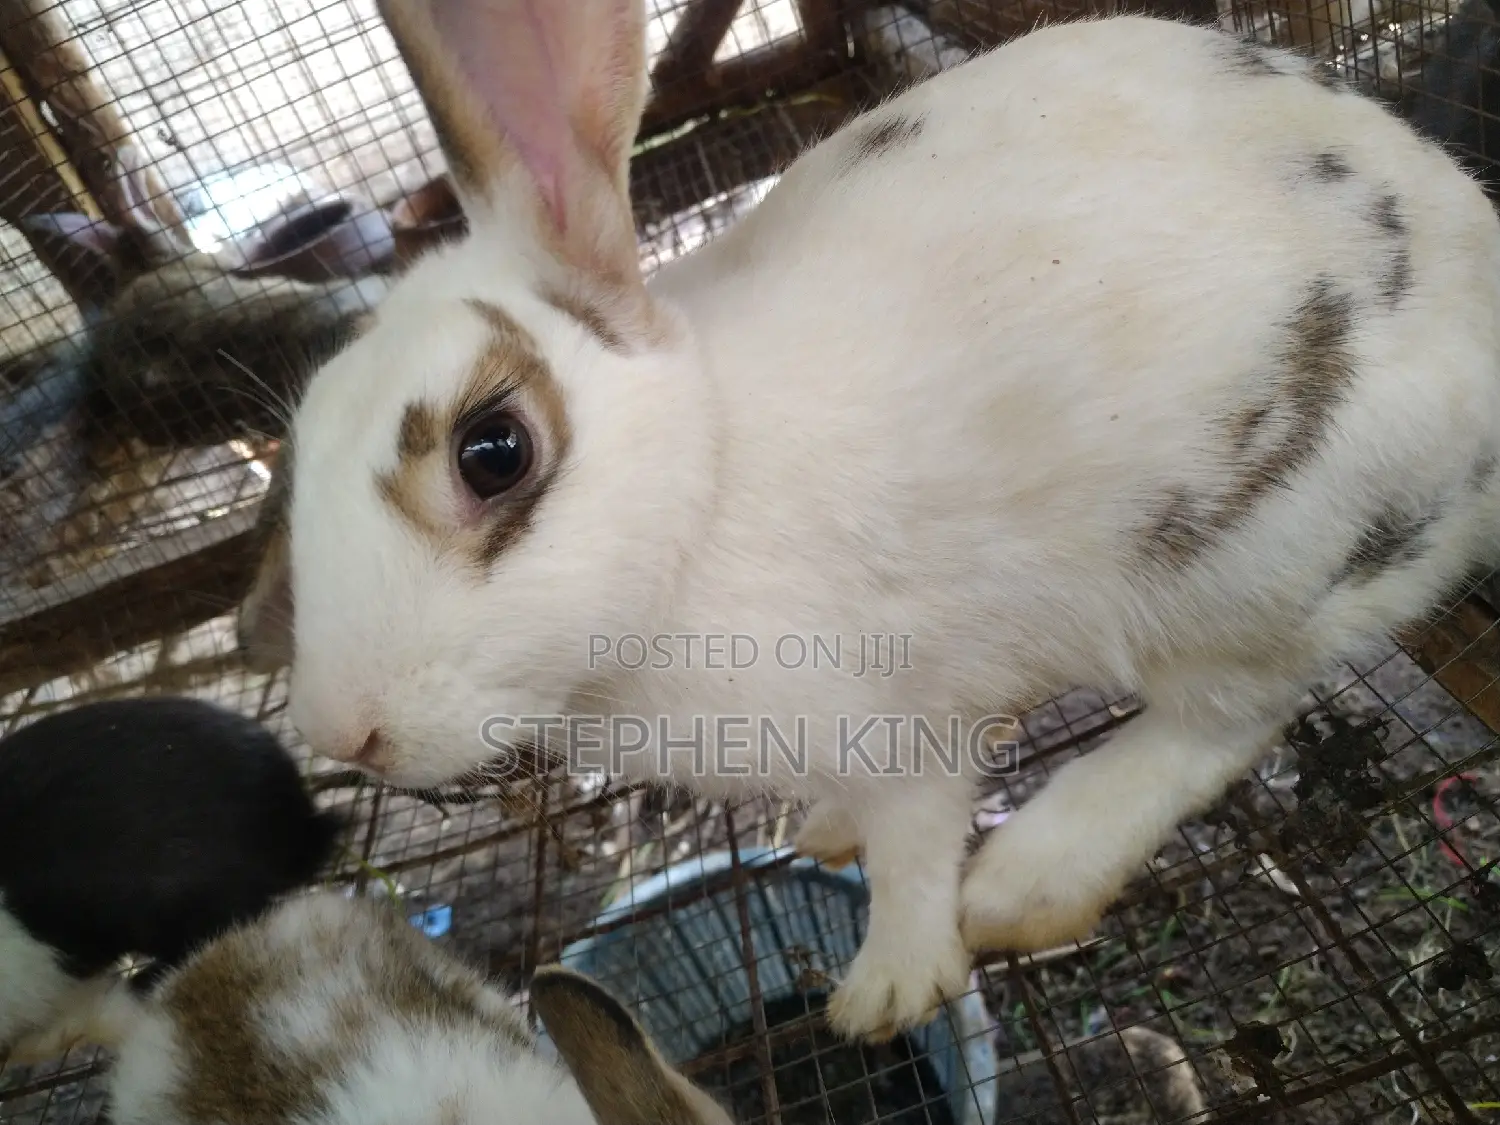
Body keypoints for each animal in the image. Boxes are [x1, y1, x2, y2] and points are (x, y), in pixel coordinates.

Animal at [238, 0, 1500, 1045]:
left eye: (492, 450)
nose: (343, 731)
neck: (708, 478)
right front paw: (824, 837)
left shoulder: (896, 724)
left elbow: (913, 850)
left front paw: (888, 990)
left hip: (1264, 564)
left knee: (1227, 717)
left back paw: (1028, 881)